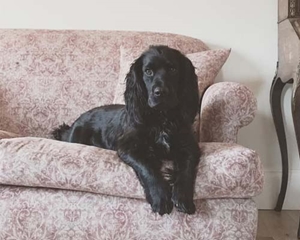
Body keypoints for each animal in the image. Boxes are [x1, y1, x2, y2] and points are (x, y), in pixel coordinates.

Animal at [52, 45, 200, 216]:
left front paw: (182, 197)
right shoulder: (128, 147)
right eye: (148, 71)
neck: (161, 118)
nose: (160, 92)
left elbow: (186, 170)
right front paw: (160, 197)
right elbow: (147, 167)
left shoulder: (189, 146)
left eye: (173, 69)